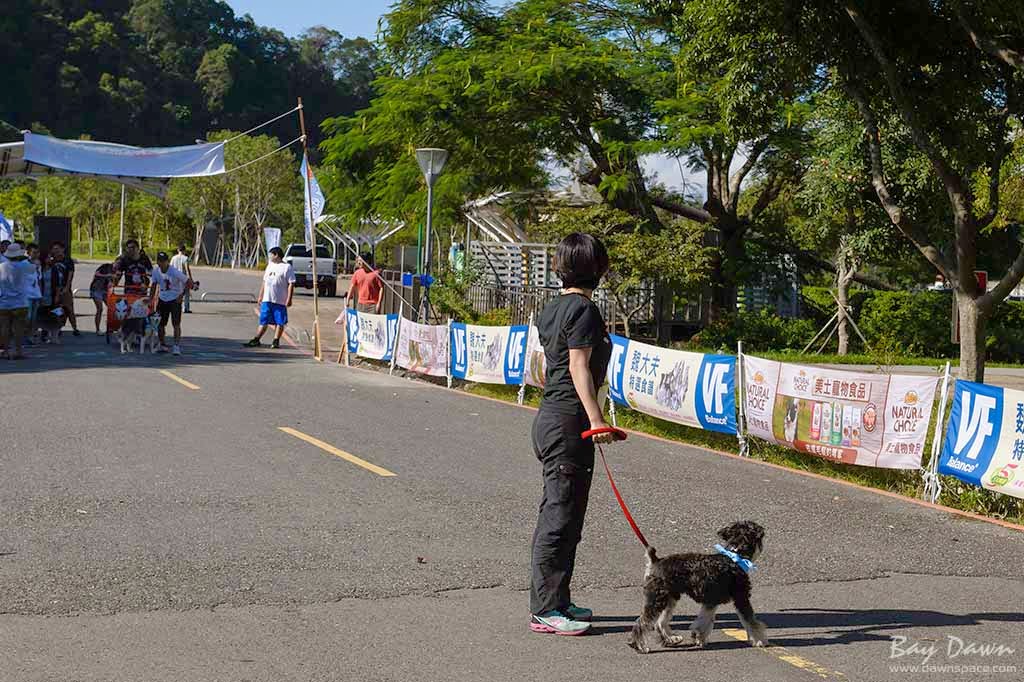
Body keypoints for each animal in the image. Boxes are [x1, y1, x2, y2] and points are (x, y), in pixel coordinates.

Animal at [622, 520, 770, 655]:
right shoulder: (741, 598)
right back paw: (639, 646)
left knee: (660, 622)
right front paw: (760, 640)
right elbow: (751, 621)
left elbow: (704, 620)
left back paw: (671, 639)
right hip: (658, 599)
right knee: (642, 622)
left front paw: (699, 637)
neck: (734, 557)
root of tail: (656, 561)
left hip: (670, 598)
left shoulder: (711, 601)